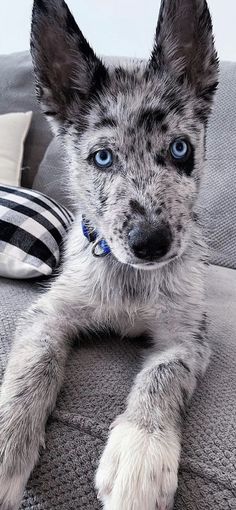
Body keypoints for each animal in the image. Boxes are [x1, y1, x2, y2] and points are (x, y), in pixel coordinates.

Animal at [0, 0, 218, 510]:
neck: (130, 277)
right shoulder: (48, 312)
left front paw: (141, 455)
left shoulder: (189, 337)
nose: (151, 243)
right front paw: (8, 443)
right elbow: (33, 365)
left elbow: (163, 375)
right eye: (102, 158)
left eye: (180, 148)